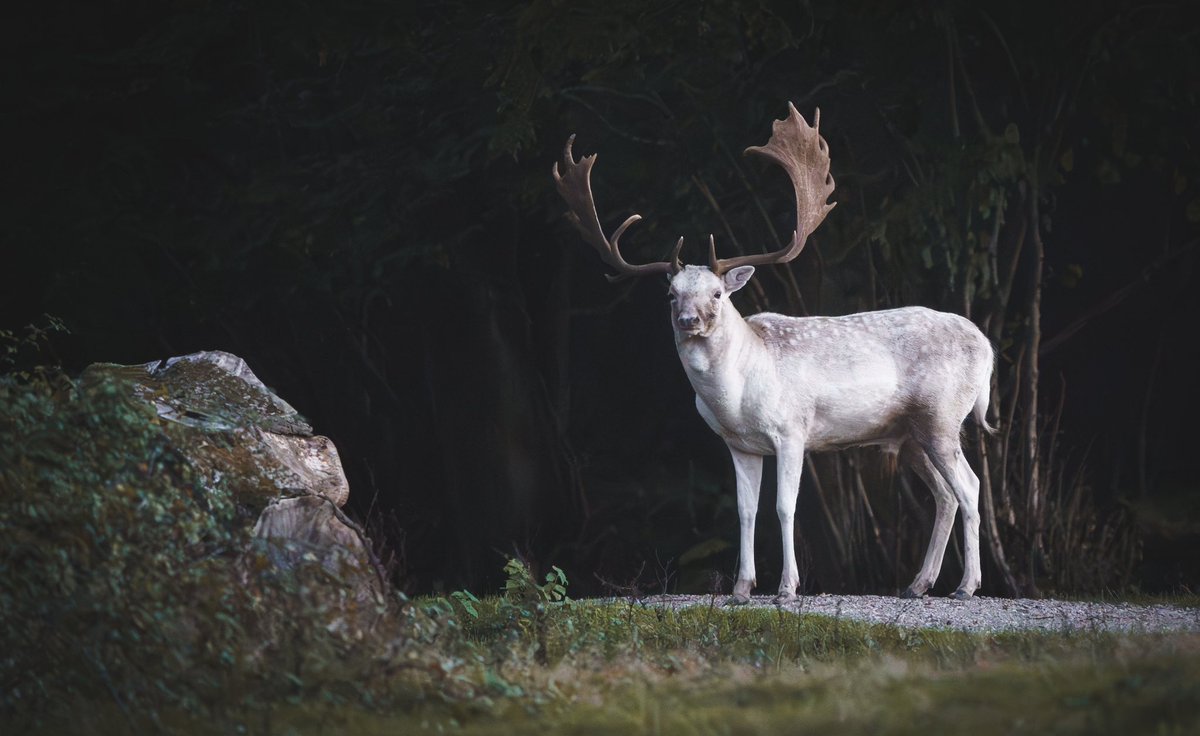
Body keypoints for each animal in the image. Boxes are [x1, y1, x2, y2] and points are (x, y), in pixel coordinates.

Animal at [553, 103, 994, 604]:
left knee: (970, 487)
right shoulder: (739, 444)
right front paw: (741, 588)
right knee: (945, 495)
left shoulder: (792, 430)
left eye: (717, 293)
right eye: (670, 294)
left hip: (942, 414)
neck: (738, 394)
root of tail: (987, 346)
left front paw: (787, 588)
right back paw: (918, 585)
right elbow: (745, 513)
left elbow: (785, 508)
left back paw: (966, 586)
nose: (688, 320)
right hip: (909, 434)